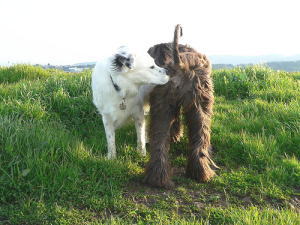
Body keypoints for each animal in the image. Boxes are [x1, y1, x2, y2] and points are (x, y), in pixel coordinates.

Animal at [144, 24, 218, 188]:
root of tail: (181, 64)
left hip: (164, 106)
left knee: (159, 142)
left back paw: (159, 178)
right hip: (198, 107)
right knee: (200, 138)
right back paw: (200, 173)